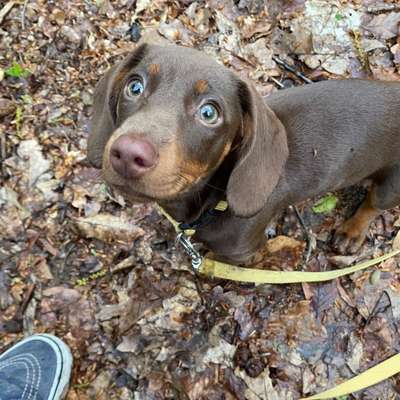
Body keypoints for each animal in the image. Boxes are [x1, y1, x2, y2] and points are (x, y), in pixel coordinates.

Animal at [87, 42, 400, 264]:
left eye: (209, 112)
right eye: (134, 86)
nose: (128, 154)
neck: (215, 202)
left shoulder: (244, 250)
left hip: (391, 187)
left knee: (373, 204)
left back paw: (352, 231)